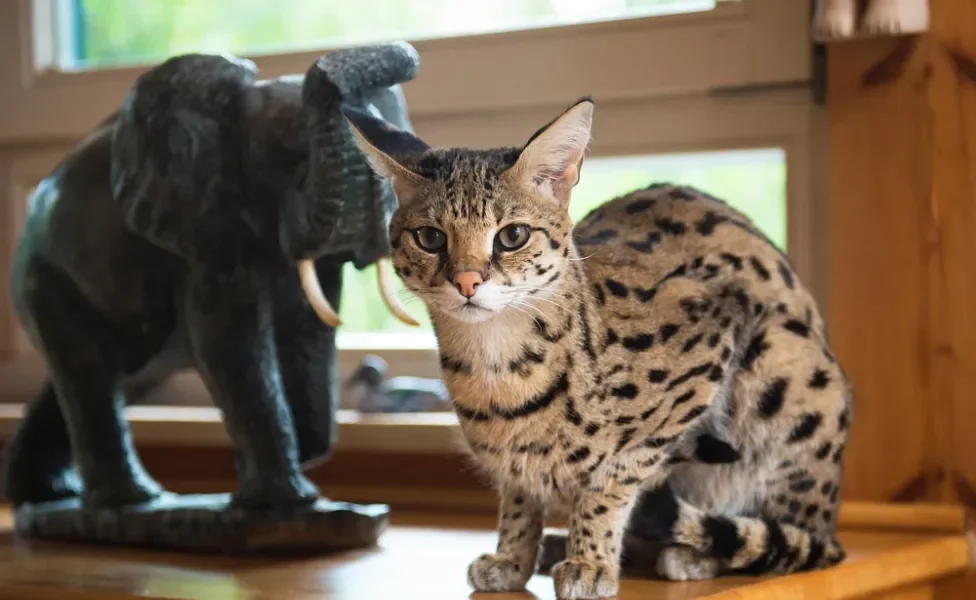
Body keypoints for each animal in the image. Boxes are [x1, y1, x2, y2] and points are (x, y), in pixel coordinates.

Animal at [346, 96, 856, 596]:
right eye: (430, 238)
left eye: (512, 236)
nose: (467, 281)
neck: (496, 370)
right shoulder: (509, 461)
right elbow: (518, 495)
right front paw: (514, 558)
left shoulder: (712, 341)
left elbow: (611, 480)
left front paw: (590, 561)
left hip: (786, 369)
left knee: (796, 543)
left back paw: (693, 554)